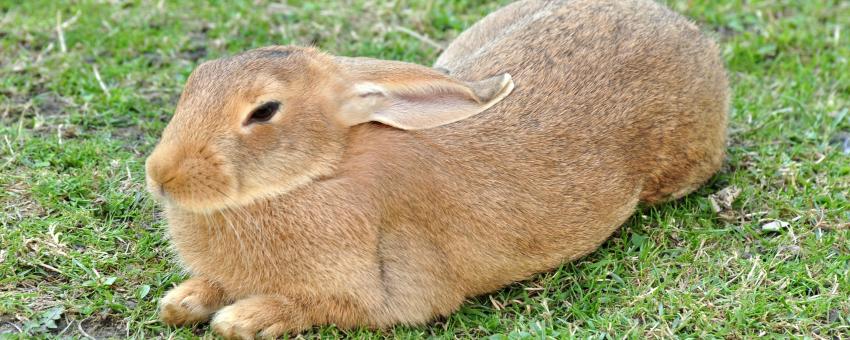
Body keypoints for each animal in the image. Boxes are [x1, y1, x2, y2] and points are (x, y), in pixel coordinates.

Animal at [144, 0, 724, 338]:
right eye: (195, 81)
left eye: (264, 111)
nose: (160, 176)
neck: (319, 172)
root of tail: (694, 37)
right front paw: (183, 301)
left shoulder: (381, 297)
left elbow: (316, 307)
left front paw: (243, 318)